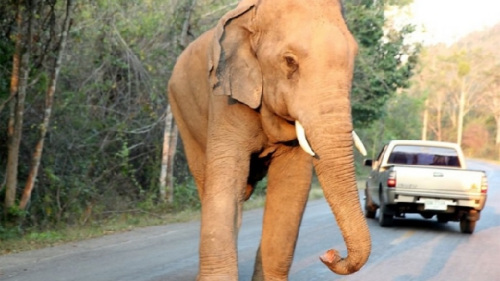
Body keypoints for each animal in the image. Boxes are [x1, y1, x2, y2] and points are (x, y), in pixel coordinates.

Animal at [168, 0, 372, 278]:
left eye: (354, 58)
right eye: (289, 61)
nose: (330, 253)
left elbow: (292, 186)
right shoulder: (225, 98)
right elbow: (225, 180)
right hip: (182, 113)